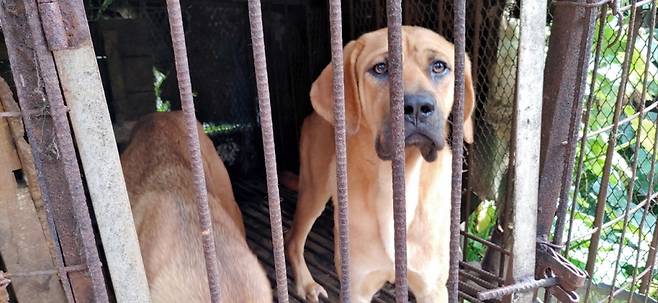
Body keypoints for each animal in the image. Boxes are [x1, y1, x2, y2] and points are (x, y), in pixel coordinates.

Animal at [284, 27, 474, 302]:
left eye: (439, 66)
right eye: (381, 68)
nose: (418, 107)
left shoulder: (432, 289)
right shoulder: (356, 287)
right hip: (314, 191)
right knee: (293, 240)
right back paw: (306, 284)